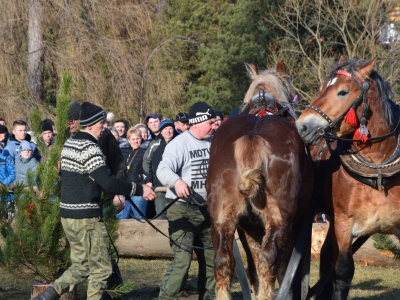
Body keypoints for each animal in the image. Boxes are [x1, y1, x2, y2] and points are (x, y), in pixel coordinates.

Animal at [208, 61, 314, 300]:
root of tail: (252, 138)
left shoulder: (248, 227)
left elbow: (252, 265)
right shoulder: (296, 223)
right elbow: (283, 268)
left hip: (222, 217)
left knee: (222, 260)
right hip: (279, 218)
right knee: (270, 259)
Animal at [296, 57, 400, 298]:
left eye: (342, 92)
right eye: (322, 87)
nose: (302, 126)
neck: (377, 168)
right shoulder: (343, 224)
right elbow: (343, 273)